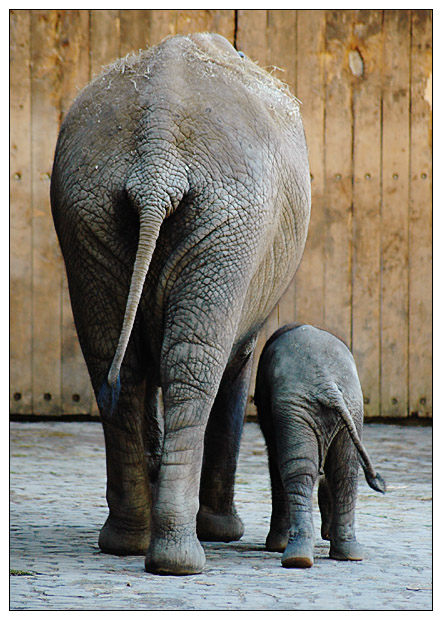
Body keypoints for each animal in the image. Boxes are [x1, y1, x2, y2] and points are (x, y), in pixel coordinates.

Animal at [51, 32, 310, 576]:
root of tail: (158, 152)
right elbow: (236, 367)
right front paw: (223, 532)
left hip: (90, 209)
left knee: (115, 362)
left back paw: (129, 542)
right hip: (229, 224)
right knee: (195, 364)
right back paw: (180, 557)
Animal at [254, 322, 386, 568]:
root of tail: (328, 384)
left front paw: (275, 546)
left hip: (300, 407)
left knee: (299, 469)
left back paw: (297, 558)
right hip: (350, 406)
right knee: (344, 470)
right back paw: (346, 555)